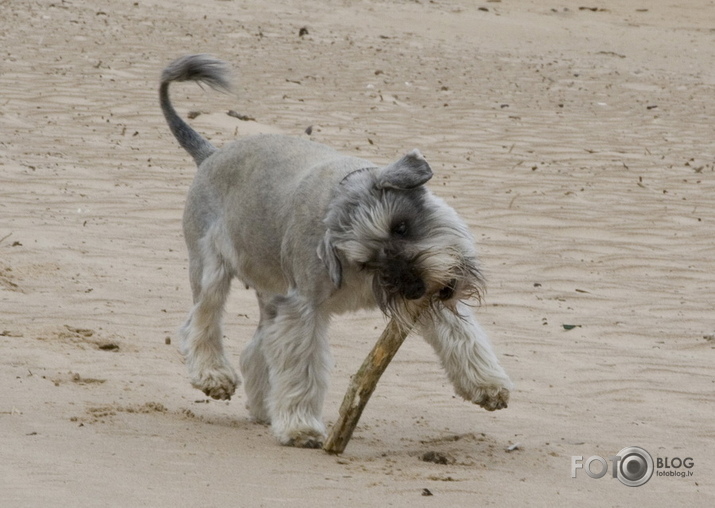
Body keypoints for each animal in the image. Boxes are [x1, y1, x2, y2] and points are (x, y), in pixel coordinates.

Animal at [159, 53, 512, 446]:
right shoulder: (303, 310)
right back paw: (214, 375)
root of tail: (210, 154)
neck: (340, 202)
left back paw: (264, 408)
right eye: (367, 261)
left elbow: (461, 334)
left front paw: (486, 384)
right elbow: (301, 368)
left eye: (401, 226)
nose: (414, 287)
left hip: (270, 290)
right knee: (200, 322)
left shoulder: (426, 297)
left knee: (255, 348)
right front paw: (300, 425)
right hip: (211, 269)